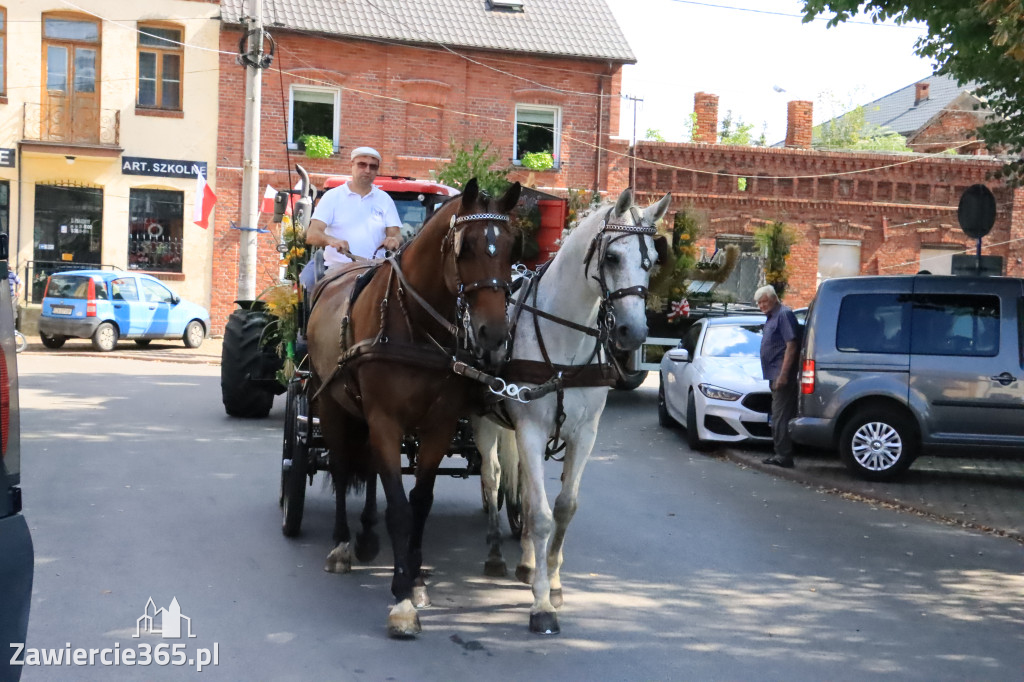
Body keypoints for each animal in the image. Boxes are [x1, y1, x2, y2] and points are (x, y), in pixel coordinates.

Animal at [305, 178, 520, 634]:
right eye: (465, 248)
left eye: (513, 247)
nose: (493, 334)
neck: (414, 326)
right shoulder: (385, 420)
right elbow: (400, 508)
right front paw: (402, 598)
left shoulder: (437, 426)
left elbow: (419, 503)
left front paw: (417, 579)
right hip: (329, 401)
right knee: (340, 465)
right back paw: (342, 545)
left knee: (368, 469)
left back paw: (367, 535)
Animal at [471, 187, 671, 630]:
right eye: (611, 257)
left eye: (650, 261)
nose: (634, 332)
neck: (565, 339)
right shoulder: (529, 429)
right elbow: (541, 514)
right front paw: (541, 605)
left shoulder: (585, 434)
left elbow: (562, 508)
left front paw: (553, 583)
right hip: (485, 422)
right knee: (492, 478)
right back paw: (492, 553)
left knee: (524, 493)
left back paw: (527, 563)